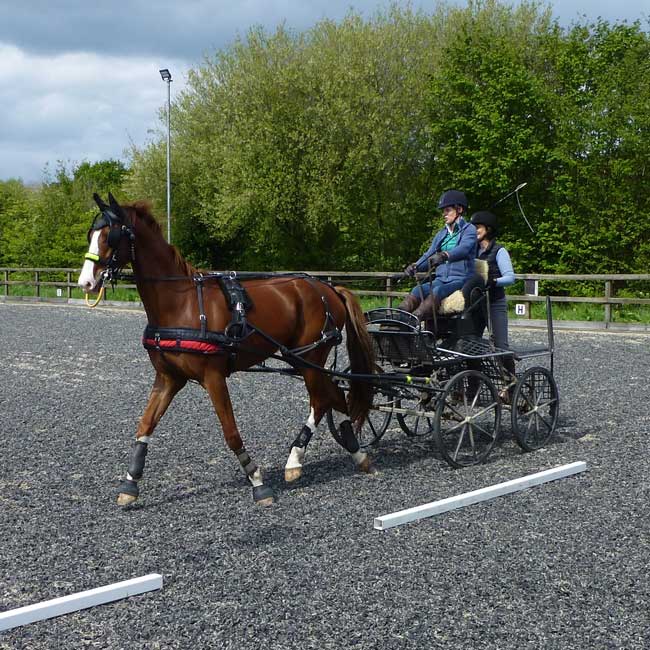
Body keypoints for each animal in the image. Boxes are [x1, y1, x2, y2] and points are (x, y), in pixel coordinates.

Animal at [78, 194, 374, 506]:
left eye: (111, 235)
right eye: (90, 235)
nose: (85, 282)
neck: (181, 304)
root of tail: (329, 288)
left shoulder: (213, 377)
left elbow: (230, 432)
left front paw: (257, 481)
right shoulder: (169, 378)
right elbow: (145, 424)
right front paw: (130, 482)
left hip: (310, 357)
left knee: (323, 399)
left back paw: (300, 459)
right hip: (299, 358)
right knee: (335, 396)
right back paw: (351, 454)